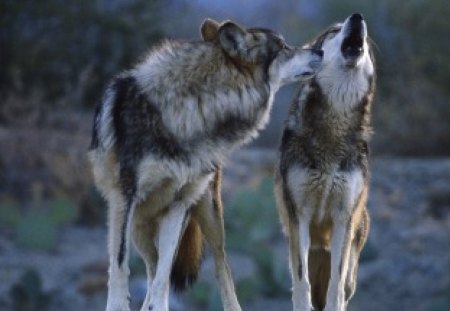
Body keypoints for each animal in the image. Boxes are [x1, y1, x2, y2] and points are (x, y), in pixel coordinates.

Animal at [89, 17, 322, 311]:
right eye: (283, 48)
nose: (320, 51)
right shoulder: (124, 198)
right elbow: (121, 265)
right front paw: (120, 305)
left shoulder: (177, 204)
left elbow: (164, 277)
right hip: (139, 224)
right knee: (151, 267)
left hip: (208, 214)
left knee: (219, 268)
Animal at [274, 12, 376, 311]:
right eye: (334, 31)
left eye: (367, 37)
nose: (357, 17)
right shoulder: (299, 216)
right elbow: (301, 282)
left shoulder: (344, 216)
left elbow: (336, 283)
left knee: (344, 284)